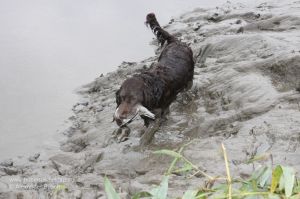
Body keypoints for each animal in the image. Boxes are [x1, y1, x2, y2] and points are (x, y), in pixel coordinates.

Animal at [113, 13, 195, 145]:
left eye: (133, 99)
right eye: (121, 98)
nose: (120, 117)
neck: (150, 88)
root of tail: (175, 41)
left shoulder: (156, 115)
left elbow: (149, 131)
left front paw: (143, 143)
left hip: (189, 79)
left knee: (187, 88)